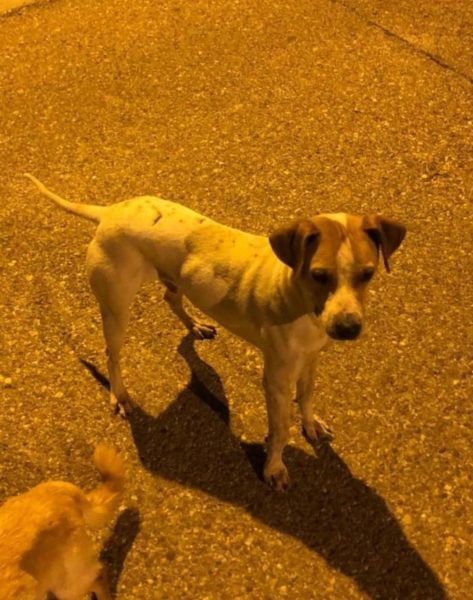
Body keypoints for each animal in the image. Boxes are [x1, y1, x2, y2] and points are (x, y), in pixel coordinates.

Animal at [26, 174, 405, 490]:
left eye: (368, 273)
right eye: (319, 275)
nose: (347, 327)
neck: (295, 294)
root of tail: (109, 211)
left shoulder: (311, 360)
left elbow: (308, 396)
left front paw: (310, 425)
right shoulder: (276, 379)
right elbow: (280, 430)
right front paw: (274, 468)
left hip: (174, 281)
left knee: (171, 299)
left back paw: (194, 325)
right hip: (116, 310)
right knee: (112, 354)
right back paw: (119, 394)